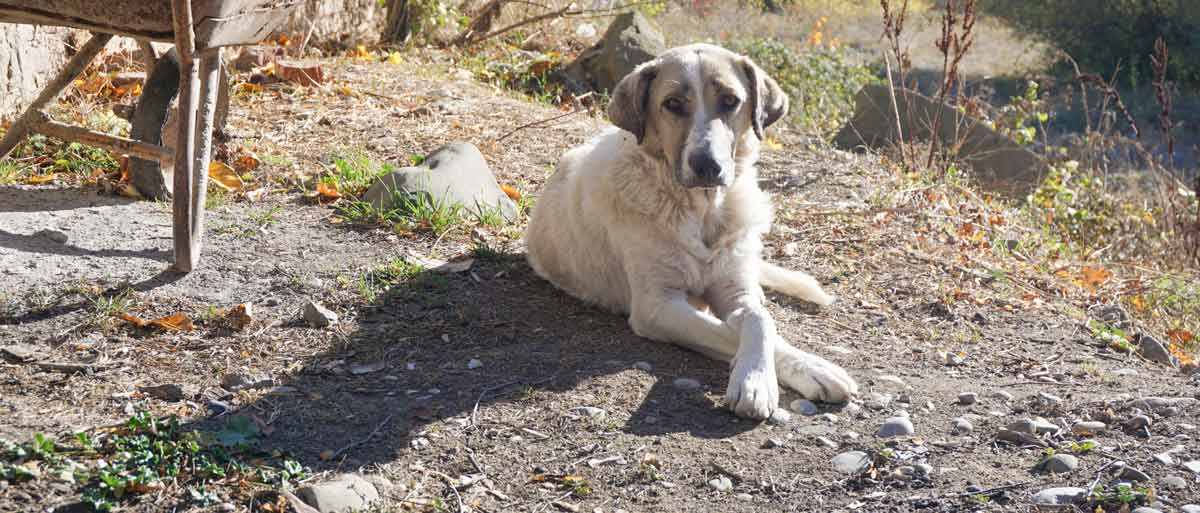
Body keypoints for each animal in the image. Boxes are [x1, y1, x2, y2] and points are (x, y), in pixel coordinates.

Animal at [523, 43, 854, 421]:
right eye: (673, 104)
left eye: (730, 100)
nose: (708, 165)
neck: (702, 210)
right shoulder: (657, 306)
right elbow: (727, 332)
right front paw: (754, 383)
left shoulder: (736, 289)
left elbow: (761, 319)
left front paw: (806, 368)